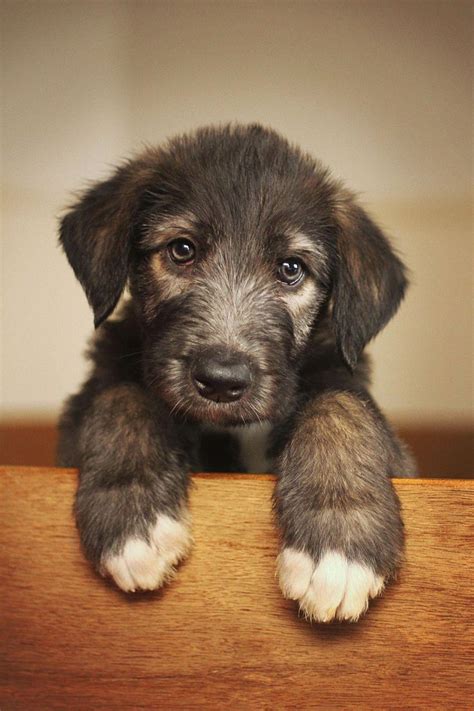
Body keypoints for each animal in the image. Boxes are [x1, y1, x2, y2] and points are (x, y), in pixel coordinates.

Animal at [58, 124, 414, 624]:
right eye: (182, 250)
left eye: (291, 268)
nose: (221, 380)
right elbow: (120, 396)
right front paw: (133, 515)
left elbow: (340, 405)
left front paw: (340, 537)